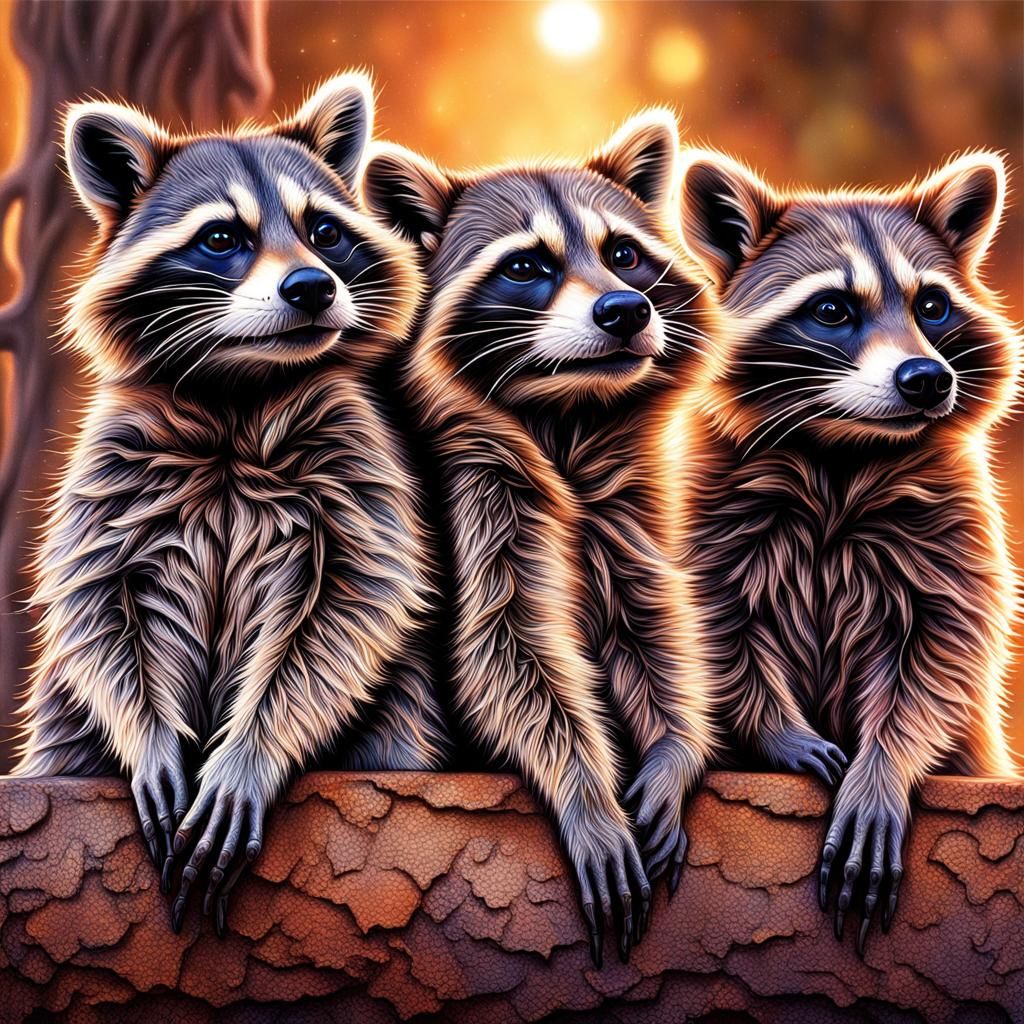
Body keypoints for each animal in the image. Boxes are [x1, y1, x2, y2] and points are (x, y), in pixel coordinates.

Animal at [12, 73, 450, 933]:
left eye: (324, 231)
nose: (312, 287)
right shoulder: (114, 467)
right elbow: (96, 604)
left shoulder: (357, 460)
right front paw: (151, 739)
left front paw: (251, 751)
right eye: (222, 238)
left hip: (396, 721)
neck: (239, 391)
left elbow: (349, 607)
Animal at [362, 113, 716, 965]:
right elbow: (505, 650)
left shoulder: (625, 503)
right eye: (526, 266)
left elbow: (650, 627)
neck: (566, 411)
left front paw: (674, 749)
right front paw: (585, 791)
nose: (625, 310)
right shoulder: (470, 492)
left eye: (623, 254)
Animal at [676, 149, 1020, 951]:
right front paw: (776, 731)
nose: (927, 379)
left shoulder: (955, 529)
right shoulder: (709, 512)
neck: (844, 452)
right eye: (832, 309)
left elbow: (943, 656)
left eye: (932, 307)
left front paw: (883, 768)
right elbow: (715, 634)